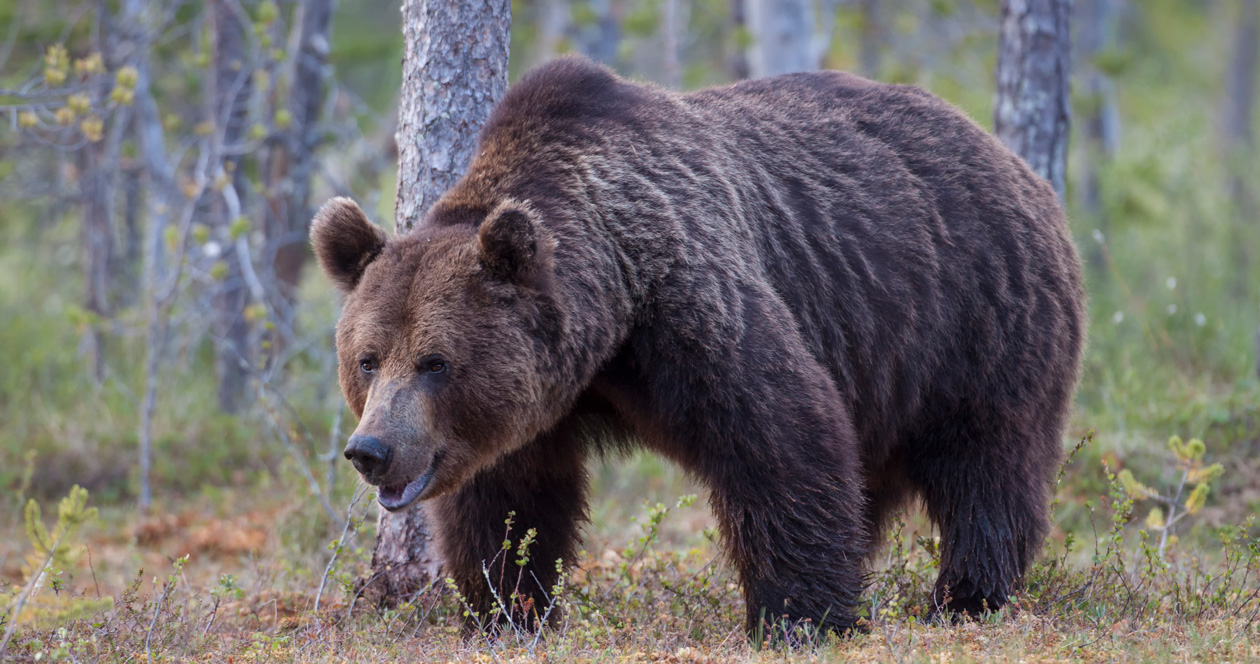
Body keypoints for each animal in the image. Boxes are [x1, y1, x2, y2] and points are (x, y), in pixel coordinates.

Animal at [312, 57, 1083, 640]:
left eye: (435, 361)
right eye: (367, 359)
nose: (371, 449)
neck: (609, 311)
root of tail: (1016, 163)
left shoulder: (687, 304)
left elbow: (780, 436)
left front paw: (800, 616)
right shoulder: (530, 400)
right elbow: (508, 500)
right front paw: (508, 608)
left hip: (977, 317)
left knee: (987, 464)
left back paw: (967, 596)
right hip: (888, 367)